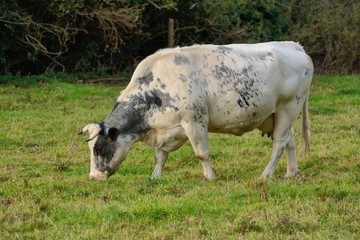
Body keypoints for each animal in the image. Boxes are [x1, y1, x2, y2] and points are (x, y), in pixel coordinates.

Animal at [78, 41, 312, 180]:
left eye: (99, 149)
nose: (93, 177)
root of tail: (294, 45)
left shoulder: (194, 121)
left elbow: (201, 153)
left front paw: (209, 177)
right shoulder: (166, 129)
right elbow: (160, 155)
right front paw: (155, 177)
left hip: (288, 107)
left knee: (279, 144)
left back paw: (265, 175)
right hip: (276, 115)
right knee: (289, 141)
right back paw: (291, 173)